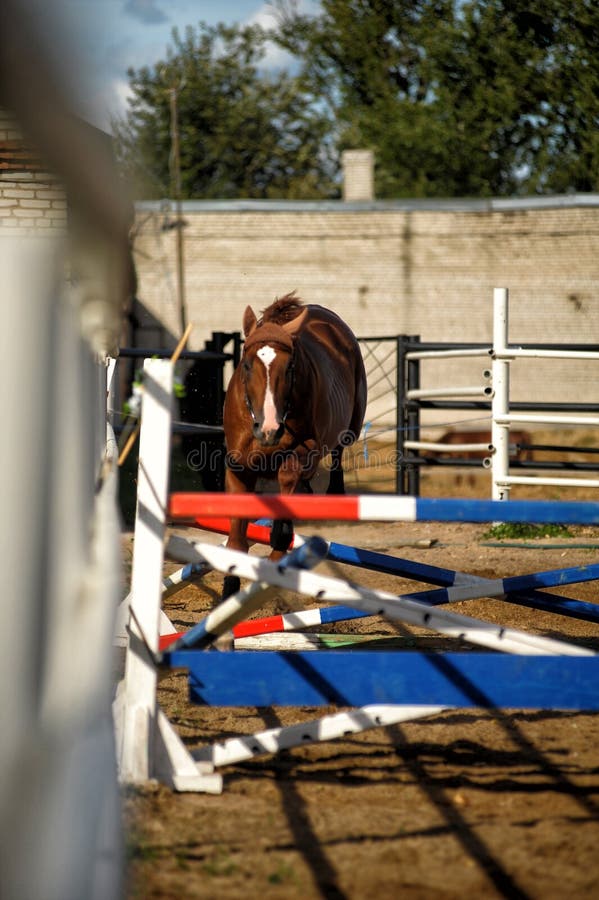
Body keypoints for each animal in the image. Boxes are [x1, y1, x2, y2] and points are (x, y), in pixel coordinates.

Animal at [221, 293, 367, 598]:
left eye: (289, 367)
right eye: (247, 365)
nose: (269, 429)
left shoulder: (306, 449)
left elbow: (289, 477)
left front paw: (280, 542)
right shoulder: (238, 466)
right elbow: (236, 538)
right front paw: (229, 589)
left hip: (352, 422)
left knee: (338, 450)